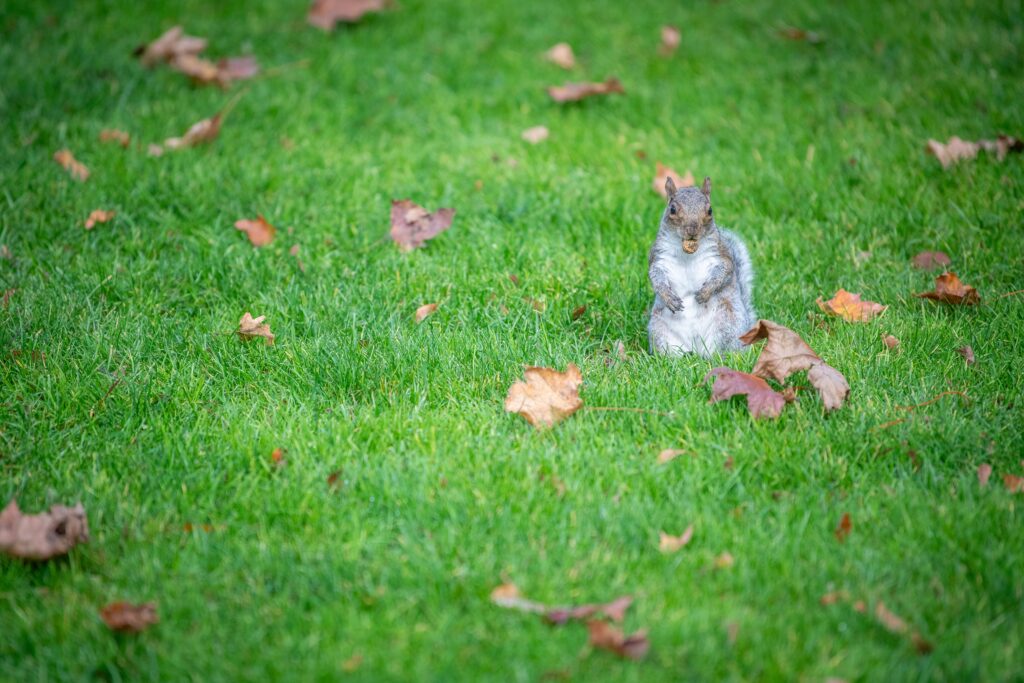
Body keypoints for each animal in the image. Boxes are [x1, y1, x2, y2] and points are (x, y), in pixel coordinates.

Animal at [647, 176, 756, 357]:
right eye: (672, 209)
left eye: (710, 210)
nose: (692, 230)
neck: (687, 253)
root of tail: (696, 347)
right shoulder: (659, 257)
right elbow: (655, 276)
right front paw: (668, 297)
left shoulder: (721, 255)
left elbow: (724, 272)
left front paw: (705, 292)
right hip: (660, 331)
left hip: (727, 325)